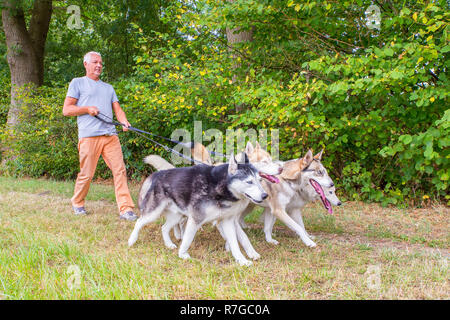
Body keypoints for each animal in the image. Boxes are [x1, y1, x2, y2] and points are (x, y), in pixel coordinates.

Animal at [129, 154, 270, 266]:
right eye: (249, 182)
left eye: (260, 180)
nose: (265, 195)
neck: (219, 186)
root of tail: (158, 174)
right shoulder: (196, 219)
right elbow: (187, 239)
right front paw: (182, 254)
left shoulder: (227, 221)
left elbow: (237, 242)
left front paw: (242, 260)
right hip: (154, 213)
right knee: (139, 222)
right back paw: (132, 240)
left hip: (176, 216)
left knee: (164, 228)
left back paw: (168, 244)